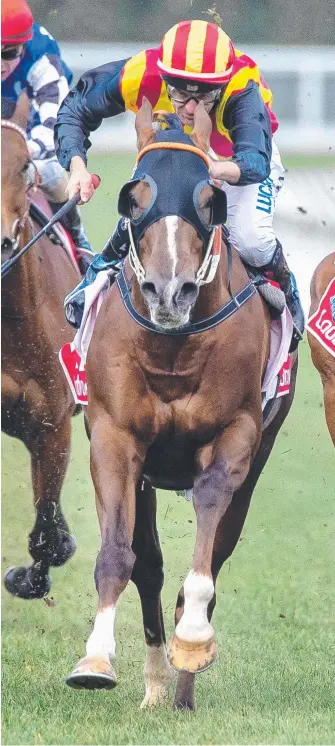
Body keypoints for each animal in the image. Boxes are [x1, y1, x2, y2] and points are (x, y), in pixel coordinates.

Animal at [65, 100, 300, 708]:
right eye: (134, 197)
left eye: (208, 199)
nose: (169, 293)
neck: (172, 347)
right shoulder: (115, 436)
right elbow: (120, 553)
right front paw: (95, 659)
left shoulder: (236, 431)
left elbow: (208, 532)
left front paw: (192, 638)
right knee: (147, 563)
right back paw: (154, 686)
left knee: (216, 548)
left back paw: (182, 683)